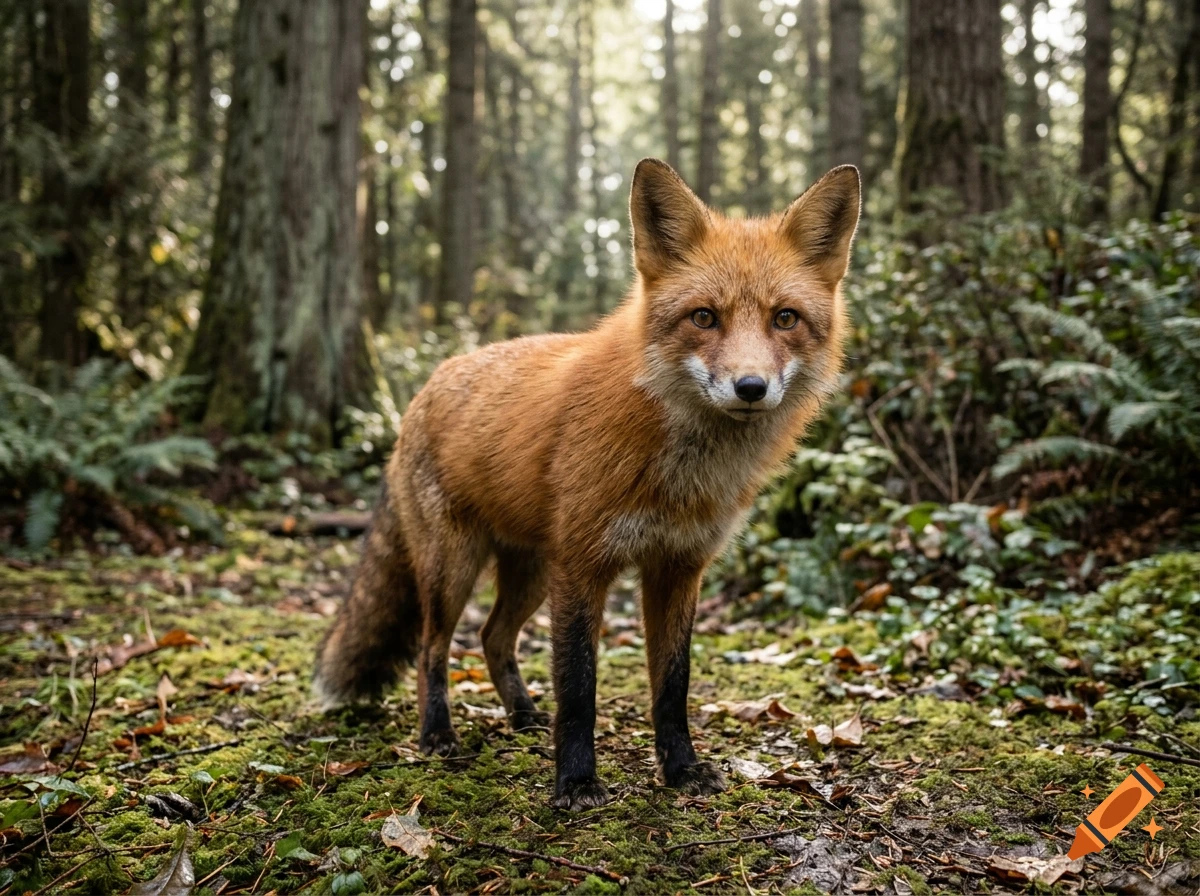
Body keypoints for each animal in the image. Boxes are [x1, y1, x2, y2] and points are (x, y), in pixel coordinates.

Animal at [313, 158, 861, 810]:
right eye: (704, 317)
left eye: (785, 319)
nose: (750, 387)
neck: (680, 472)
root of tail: (424, 390)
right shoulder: (582, 563)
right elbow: (578, 687)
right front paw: (575, 781)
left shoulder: (678, 566)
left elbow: (672, 686)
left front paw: (680, 768)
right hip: (456, 568)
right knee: (432, 649)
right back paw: (437, 734)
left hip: (528, 574)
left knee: (493, 638)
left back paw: (523, 715)